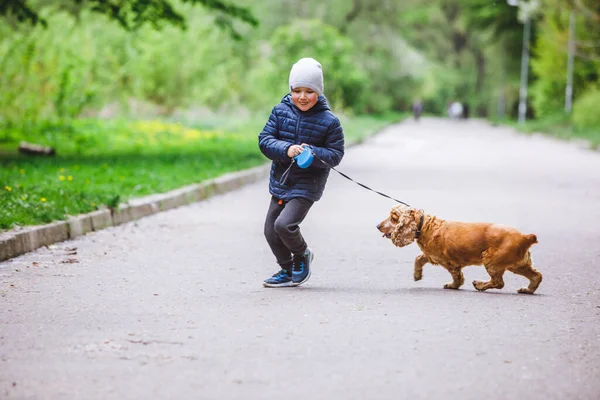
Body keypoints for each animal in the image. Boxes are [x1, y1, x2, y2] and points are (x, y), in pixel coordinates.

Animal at [380, 206, 544, 294]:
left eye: (393, 218)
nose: (377, 226)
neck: (426, 226)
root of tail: (524, 237)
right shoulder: (431, 255)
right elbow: (418, 259)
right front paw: (417, 275)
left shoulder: (448, 262)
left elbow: (457, 276)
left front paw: (452, 285)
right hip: (517, 263)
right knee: (537, 276)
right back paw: (527, 290)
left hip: (492, 260)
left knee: (498, 282)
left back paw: (479, 285)